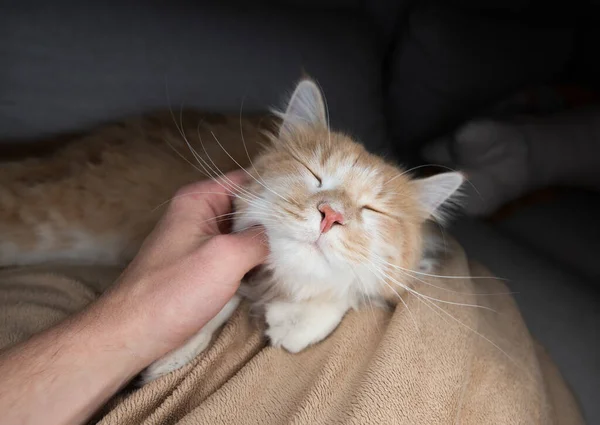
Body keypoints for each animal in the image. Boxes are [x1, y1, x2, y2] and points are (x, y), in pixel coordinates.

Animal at [0, 78, 464, 382]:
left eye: (372, 209)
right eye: (314, 174)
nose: (331, 214)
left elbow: (352, 288)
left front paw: (300, 321)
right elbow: (219, 302)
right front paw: (173, 351)